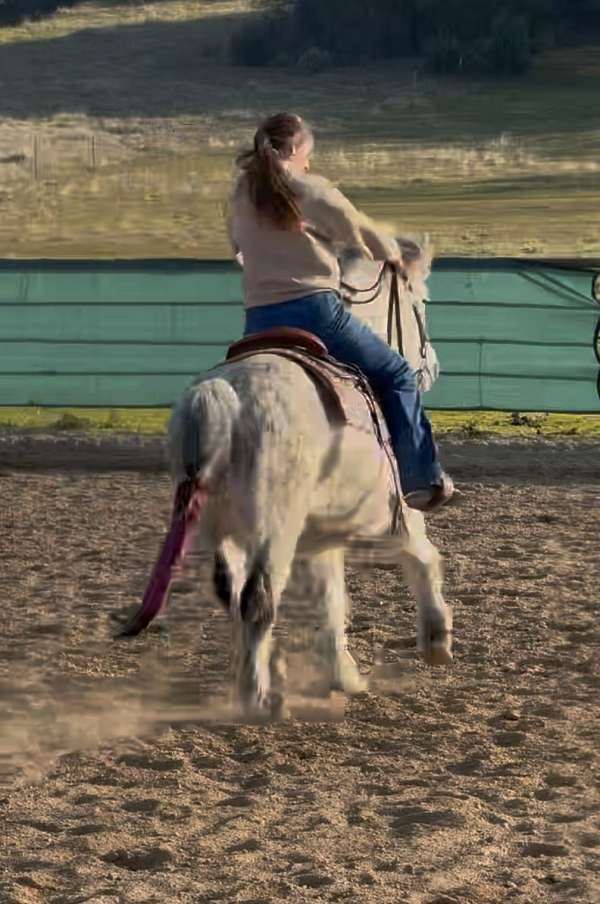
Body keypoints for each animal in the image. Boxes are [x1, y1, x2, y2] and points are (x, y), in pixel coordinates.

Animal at [125, 237, 450, 716]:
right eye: (420, 303)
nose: (432, 367)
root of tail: (224, 397)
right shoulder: (394, 513)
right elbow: (422, 555)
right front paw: (436, 641)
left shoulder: (319, 536)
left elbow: (330, 600)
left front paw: (344, 675)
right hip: (273, 530)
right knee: (257, 599)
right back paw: (258, 699)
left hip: (218, 526)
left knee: (231, 593)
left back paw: (261, 672)